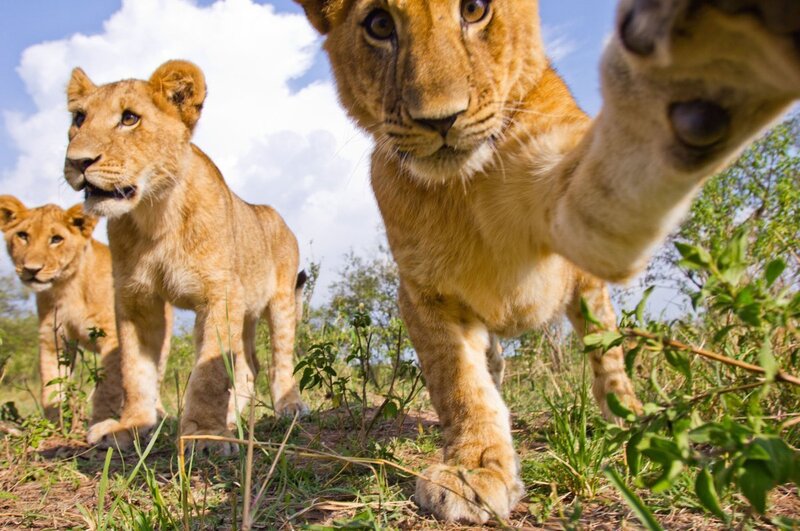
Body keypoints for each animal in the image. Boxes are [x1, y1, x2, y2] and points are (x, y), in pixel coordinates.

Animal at [0, 196, 171, 429]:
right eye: (23, 236)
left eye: (56, 239)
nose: (31, 269)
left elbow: (108, 386)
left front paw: (101, 420)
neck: (66, 287)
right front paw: (55, 424)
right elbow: (52, 384)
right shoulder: (53, 338)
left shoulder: (112, 336)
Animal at [63, 60, 308, 452]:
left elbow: (209, 372)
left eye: (129, 118)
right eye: (79, 118)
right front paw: (130, 426)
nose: (77, 162)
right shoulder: (136, 300)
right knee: (247, 366)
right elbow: (135, 369)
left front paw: (204, 435)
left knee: (279, 360)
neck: (155, 216)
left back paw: (289, 406)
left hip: (281, 300)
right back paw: (232, 417)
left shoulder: (221, 294)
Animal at [295, 0, 800, 522]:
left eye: (474, 9)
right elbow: (460, 384)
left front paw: (712, 62)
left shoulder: (575, 209)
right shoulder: (423, 293)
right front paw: (474, 469)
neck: (461, 186)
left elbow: (619, 176)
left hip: (589, 297)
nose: (440, 120)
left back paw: (632, 422)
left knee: (608, 358)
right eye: (379, 24)